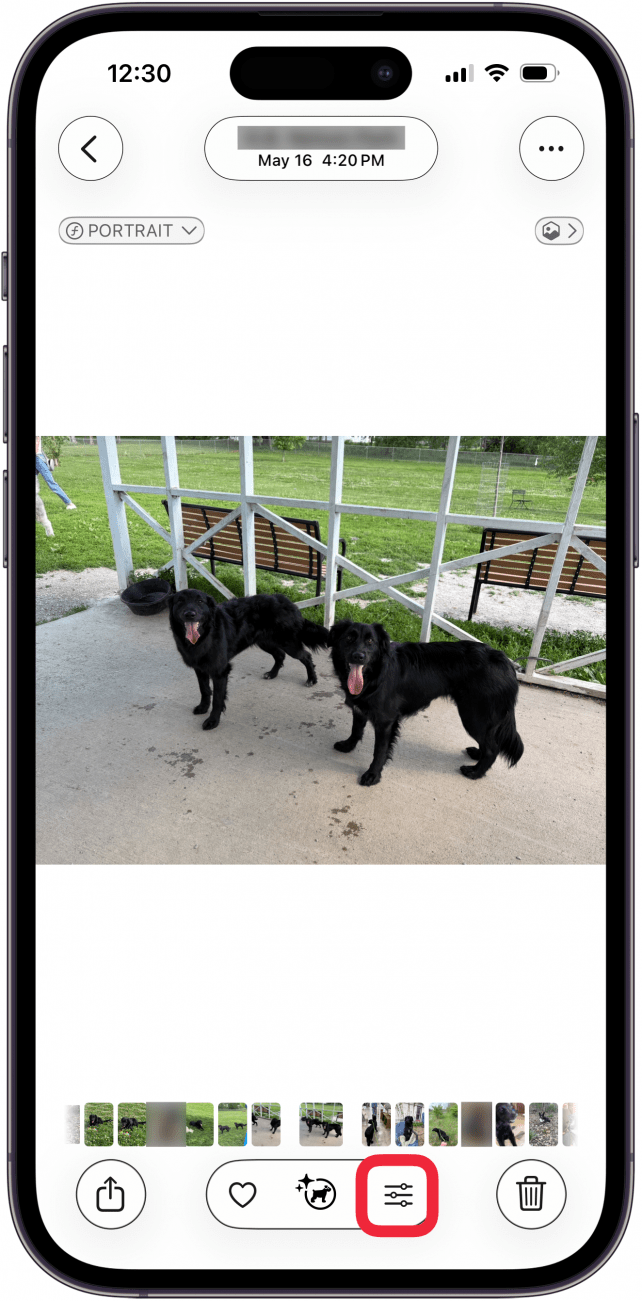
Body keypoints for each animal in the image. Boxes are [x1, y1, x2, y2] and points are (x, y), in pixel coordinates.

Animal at [168, 589, 329, 730]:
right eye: (180, 601)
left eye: (200, 601)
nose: (190, 614)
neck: (205, 635)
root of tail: (286, 601)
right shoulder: (200, 668)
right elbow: (205, 690)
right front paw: (203, 707)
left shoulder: (220, 672)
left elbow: (218, 699)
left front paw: (213, 721)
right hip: (265, 642)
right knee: (280, 655)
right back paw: (272, 674)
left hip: (288, 643)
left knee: (306, 656)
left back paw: (311, 679)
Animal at [329, 620, 524, 785]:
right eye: (349, 638)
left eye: (370, 641)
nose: (358, 656)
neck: (375, 675)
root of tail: (506, 663)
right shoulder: (360, 709)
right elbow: (356, 730)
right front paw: (348, 746)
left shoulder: (386, 721)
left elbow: (379, 751)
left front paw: (373, 775)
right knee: (488, 744)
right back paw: (477, 755)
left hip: (473, 715)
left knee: (492, 748)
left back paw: (475, 772)